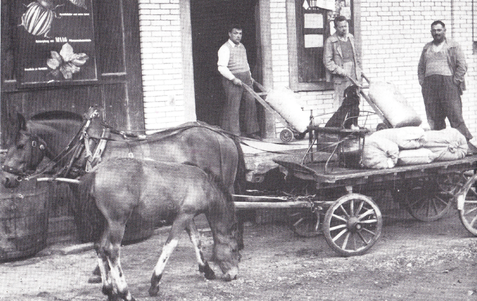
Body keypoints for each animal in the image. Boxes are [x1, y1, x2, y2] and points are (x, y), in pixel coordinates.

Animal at [81, 157, 242, 300]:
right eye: (234, 250)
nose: (234, 274)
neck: (205, 184)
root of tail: (96, 172)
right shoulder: (183, 216)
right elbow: (171, 244)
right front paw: (154, 284)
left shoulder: (188, 217)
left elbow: (196, 240)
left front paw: (207, 270)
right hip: (117, 222)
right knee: (112, 251)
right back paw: (125, 294)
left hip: (107, 223)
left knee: (100, 247)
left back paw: (109, 291)